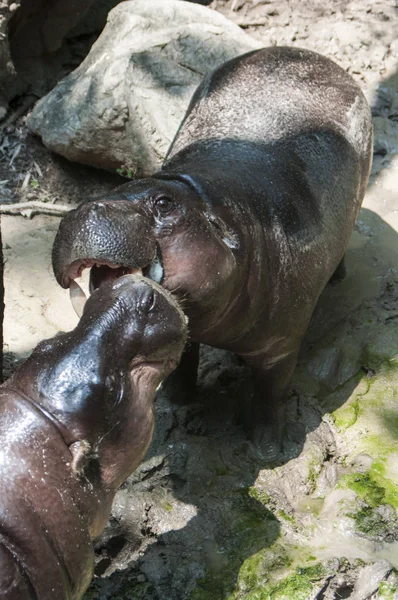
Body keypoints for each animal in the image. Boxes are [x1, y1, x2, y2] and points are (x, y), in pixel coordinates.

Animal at [50, 45, 374, 440]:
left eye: (164, 203)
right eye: (120, 186)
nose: (86, 208)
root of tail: (311, 55)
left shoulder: (281, 349)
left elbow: (271, 394)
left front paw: (267, 443)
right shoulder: (187, 326)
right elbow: (183, 366)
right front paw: (178, 405)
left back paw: (339, 278)